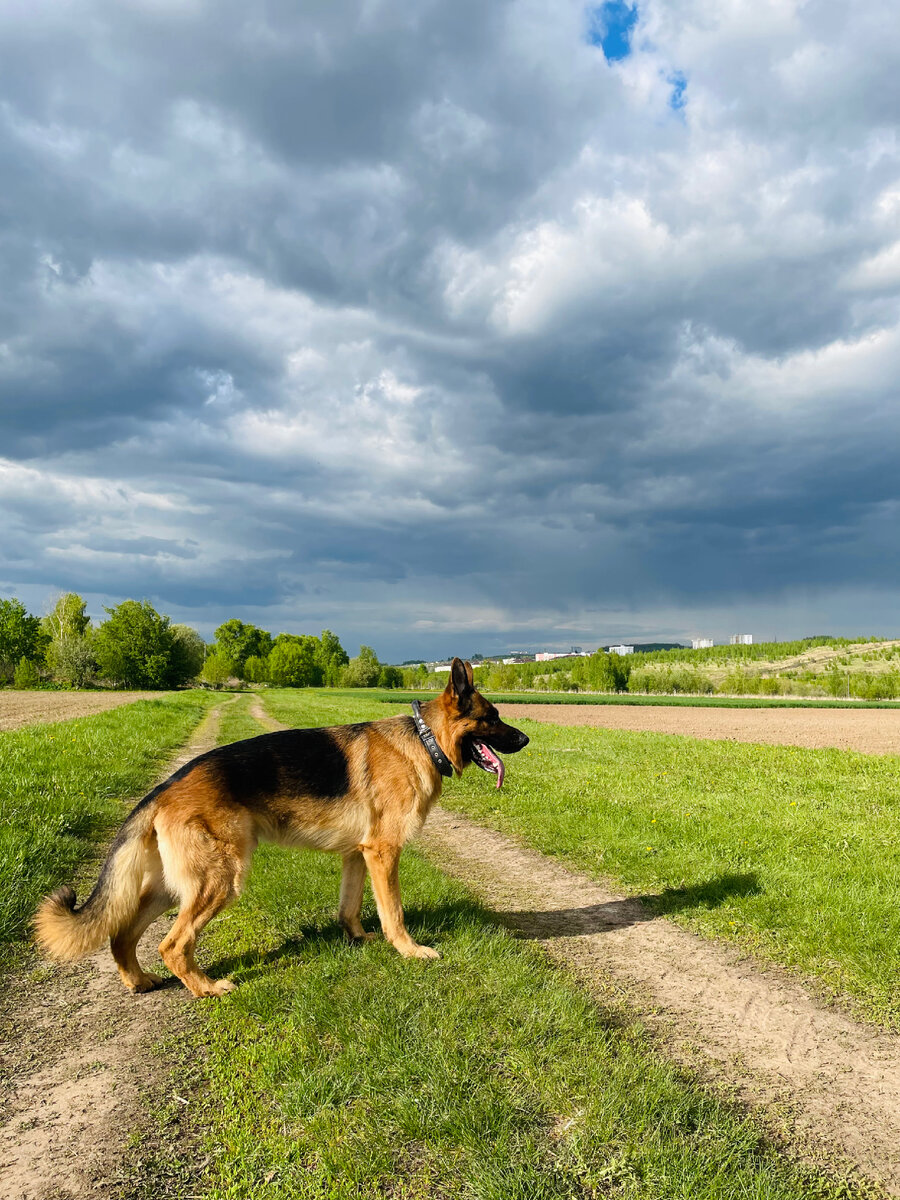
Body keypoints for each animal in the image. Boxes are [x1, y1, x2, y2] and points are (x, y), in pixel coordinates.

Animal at [35, 662, 528, 998]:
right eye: (492, 717)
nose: (526, 740)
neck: (423, 740)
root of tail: (164, 788)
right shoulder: (383, 853)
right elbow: (395, 912)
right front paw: (409, 952)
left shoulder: (358, 854)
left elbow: (350, 906)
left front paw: (358, 939)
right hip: (220, 881)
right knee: (173, 944)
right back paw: (206, 989)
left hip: (171, 888)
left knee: (122, 934)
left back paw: (139, 981)